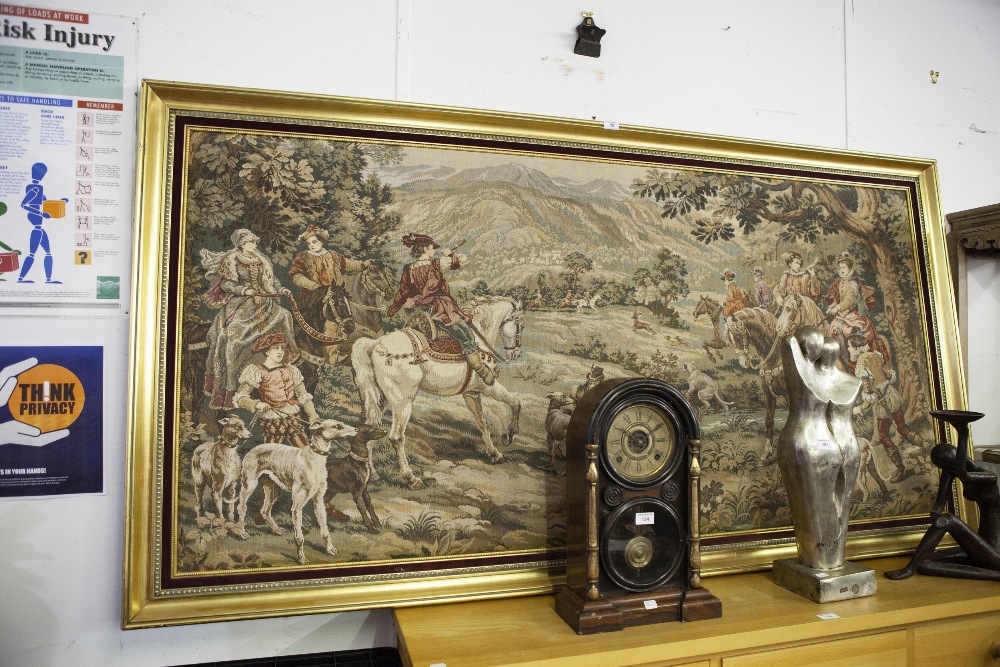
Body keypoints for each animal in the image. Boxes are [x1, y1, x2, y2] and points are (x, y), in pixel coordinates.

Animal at [350, 298, 524, 490]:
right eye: (520, 325)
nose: (516, 353)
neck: (479, 340)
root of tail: (375, 344)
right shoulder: (489, 387)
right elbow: (515, 402)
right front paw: (510, 433)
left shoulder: (471, 393)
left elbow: (482, 423)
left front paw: (494, 453)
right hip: (403, 402)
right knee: (397, 437)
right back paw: (411, 478)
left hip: (381, 399)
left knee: (370, 428)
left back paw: (372, 474)